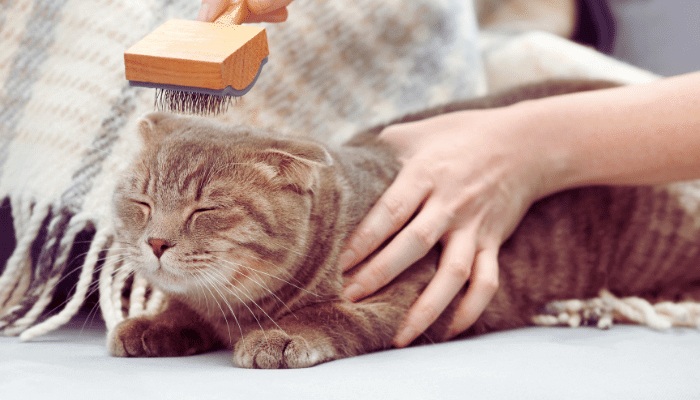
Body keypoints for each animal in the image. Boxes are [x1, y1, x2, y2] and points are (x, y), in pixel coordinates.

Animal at [106, 80, 700, 368]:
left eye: (205, 209)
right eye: (141, 203)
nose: (156, 241)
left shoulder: (414, 296)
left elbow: (333, 315)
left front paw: (283, 332)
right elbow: (184, 308)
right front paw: (153, 324)